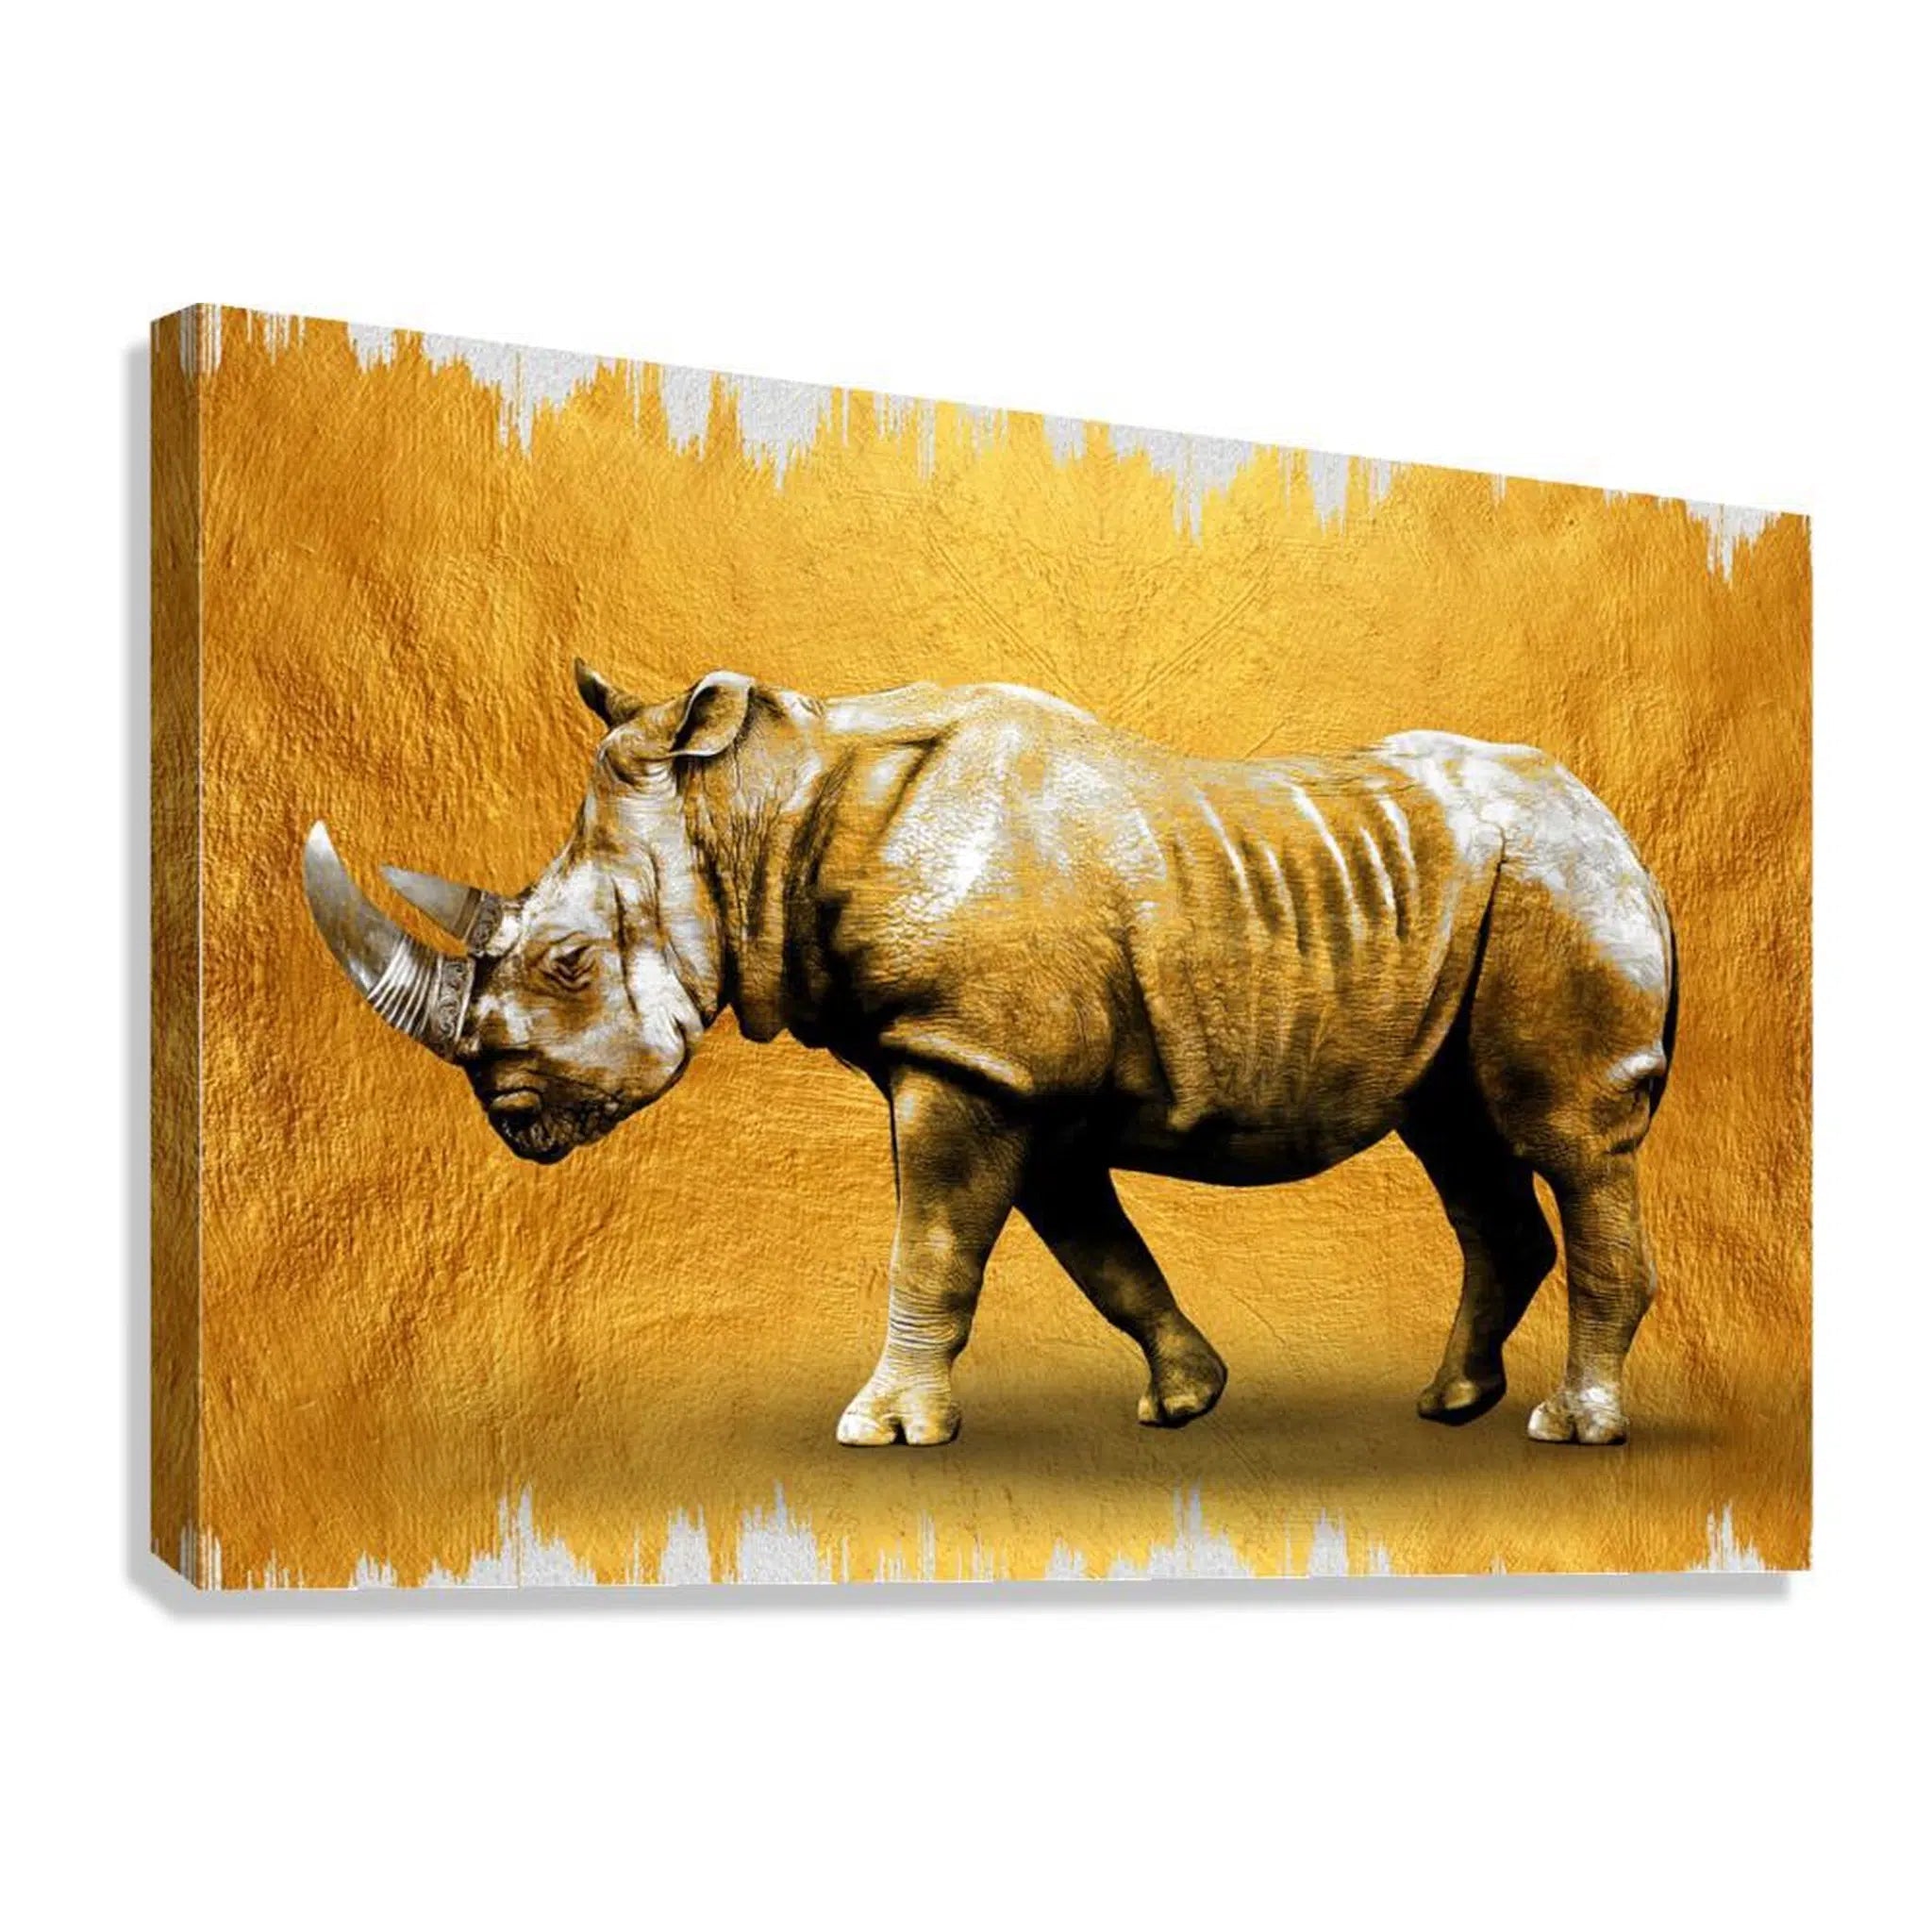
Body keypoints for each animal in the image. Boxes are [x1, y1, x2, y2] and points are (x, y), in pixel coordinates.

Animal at [304, 663, 1678, 1449]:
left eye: (567, 964)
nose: (514, 1117)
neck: (755, 812)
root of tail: (1621, 830)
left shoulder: (967, 1058)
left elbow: (932, 1246)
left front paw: (882, 1430)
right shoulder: (1016, 1073)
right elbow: (1099, 1255)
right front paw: (1186, 1398)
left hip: (1557, 884)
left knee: (1563, 1137)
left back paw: (1571, 1428)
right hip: (1481, 899)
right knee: (1459, 1136)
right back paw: (1451, 1406)